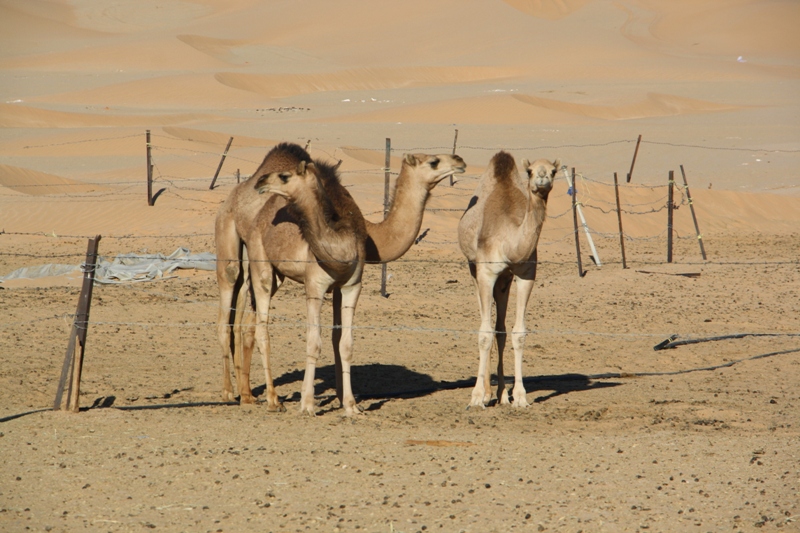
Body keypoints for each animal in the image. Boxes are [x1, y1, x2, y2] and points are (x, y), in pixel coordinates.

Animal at [252, 158, 368, 416]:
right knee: (262, 329)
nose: (260, 182)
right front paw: (307, 405)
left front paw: (351, 406)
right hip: (260, 266)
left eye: (285, 176)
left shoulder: (352, 286)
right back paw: (273, 401)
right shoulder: (314, 287)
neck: (341, 247)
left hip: (278, 277)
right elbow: (313, 343)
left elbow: (346, 344)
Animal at [460, 152, 560, 410]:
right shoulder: (486, 272)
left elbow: (518, 333)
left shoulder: (526, 274)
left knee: (501, 329)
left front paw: (520, 396)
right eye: (530, 171)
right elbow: (484, 333)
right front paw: (477, 397)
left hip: (504, 280)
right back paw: (487, 393)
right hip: (473, 269)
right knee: (486, 323)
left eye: (554, 171)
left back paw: (502, 394)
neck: (509, 241)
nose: (542, 179)